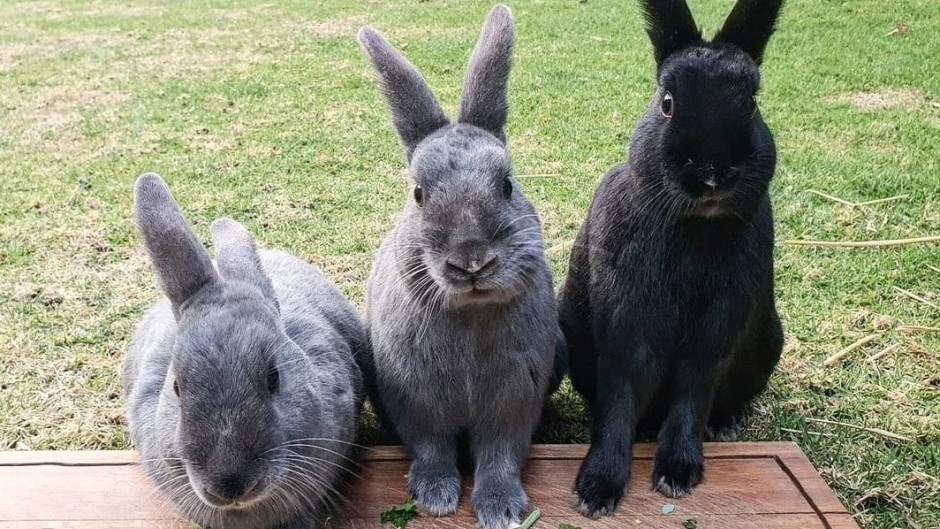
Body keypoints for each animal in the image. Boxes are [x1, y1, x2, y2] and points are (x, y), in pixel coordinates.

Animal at [357, 5, 562, 528]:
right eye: (418, 194)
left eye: (507, 185)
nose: (472, 261)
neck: (471, 313)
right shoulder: (417, 405)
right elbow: (432, 449)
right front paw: (437, 497)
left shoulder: (514, 404)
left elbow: (500, 457)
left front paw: (501, 509)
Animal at [558, 0, 786, 518]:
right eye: (667, 102)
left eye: (753, 104)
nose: (712, 174)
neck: (695, 225)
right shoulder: (628, 322)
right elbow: (621, 398)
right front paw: (597, 489)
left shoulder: (716, 330)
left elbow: (692, 395)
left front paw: (678, 473)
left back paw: (724, 426)